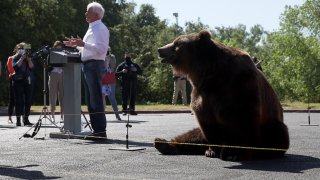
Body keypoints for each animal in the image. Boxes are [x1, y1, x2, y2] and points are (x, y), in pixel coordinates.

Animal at [155, 30, 290, 161]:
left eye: (177, 43)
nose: (160, 49)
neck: (210, 73)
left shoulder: (240, 85)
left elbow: (244, 121)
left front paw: (235, 153)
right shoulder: (202, 93)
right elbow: (207, 122)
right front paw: (212, 150)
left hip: (271, 127)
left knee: (276, 133)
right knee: (194, 134)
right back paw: (163, 143)